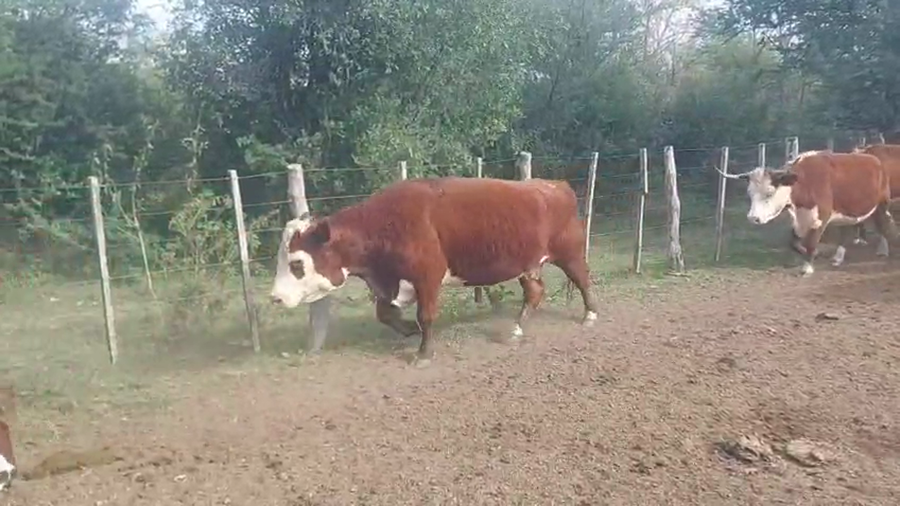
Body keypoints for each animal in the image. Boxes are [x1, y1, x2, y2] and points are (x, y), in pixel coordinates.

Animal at [269, 176, 600, 367]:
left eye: (296, 263)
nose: (275, 298)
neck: (386, 223)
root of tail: (555, 184)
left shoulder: (427, 276)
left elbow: (425, 315)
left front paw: (424, 353)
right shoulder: (390, 280)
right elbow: (385, 313)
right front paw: (410, 331)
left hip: (569, 252)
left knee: (583, 278)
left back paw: (590, 315)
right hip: (526, 264)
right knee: (535, 292)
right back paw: (516, 330)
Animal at [716, 150, 898, 277]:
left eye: (769, 193)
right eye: (750, 193)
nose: (753, 218)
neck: (805, 183)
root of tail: (873, 158)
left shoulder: (821, 217)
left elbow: (811, 242)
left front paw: (807, 267)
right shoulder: (798, 219)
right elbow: (794, 243)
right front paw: (814, 255)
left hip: (882, 204)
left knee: (884, 224)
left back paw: (884, 249)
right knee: (846, 230)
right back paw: (838, 257)